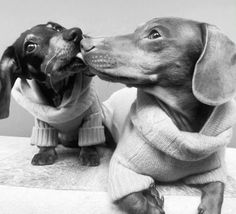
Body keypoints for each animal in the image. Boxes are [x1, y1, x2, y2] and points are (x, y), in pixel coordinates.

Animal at [0, 22, 103, 166]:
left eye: (56, 28)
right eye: (30, 46)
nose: (76, 33)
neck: (58, 91)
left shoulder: (92, 116)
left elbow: (89, 137)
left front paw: (89, 153)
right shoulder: (43, 121)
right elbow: (46, 139)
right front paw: (45, 153)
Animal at [80, 17, 236, 213]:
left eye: (155, 34)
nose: (83, 43)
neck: (181, 130)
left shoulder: (214, 169)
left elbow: (217, 188)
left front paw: (209, 207)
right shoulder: (122, 170)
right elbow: (134, 200)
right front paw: (152, 203)